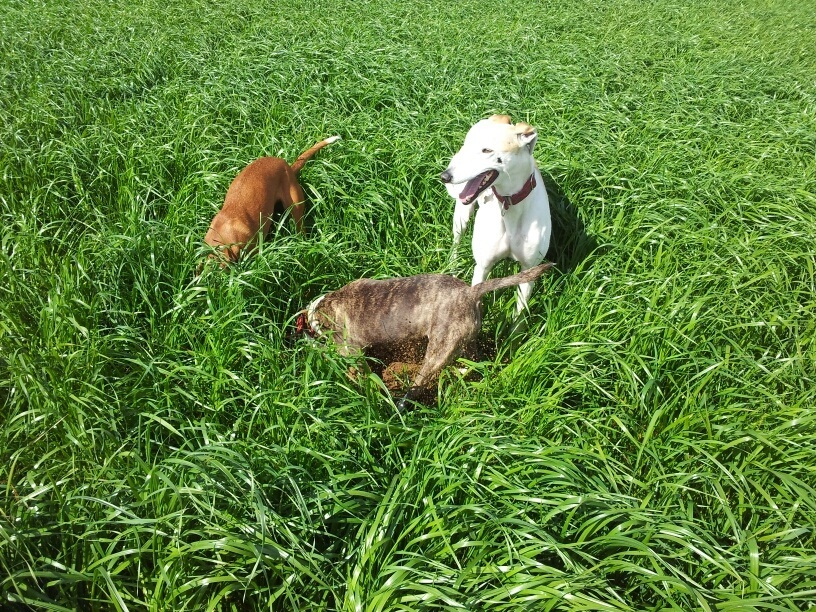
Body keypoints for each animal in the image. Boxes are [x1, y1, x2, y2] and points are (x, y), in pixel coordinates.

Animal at [294, 260, 556, 408]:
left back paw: (398, 405)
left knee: (417, 386)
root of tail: (470, 293)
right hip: (465, 343)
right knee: (475, 365)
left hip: (437, 353)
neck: (321, 310)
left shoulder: (351, 352)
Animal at [444, 116, 552, 316]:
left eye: (487, 150)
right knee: (456, 241)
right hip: (461, 216)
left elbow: (519, 316)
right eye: (468, 144)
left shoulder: (529, 270)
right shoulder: (482, 267)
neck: (509, 204)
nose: (445, 176)